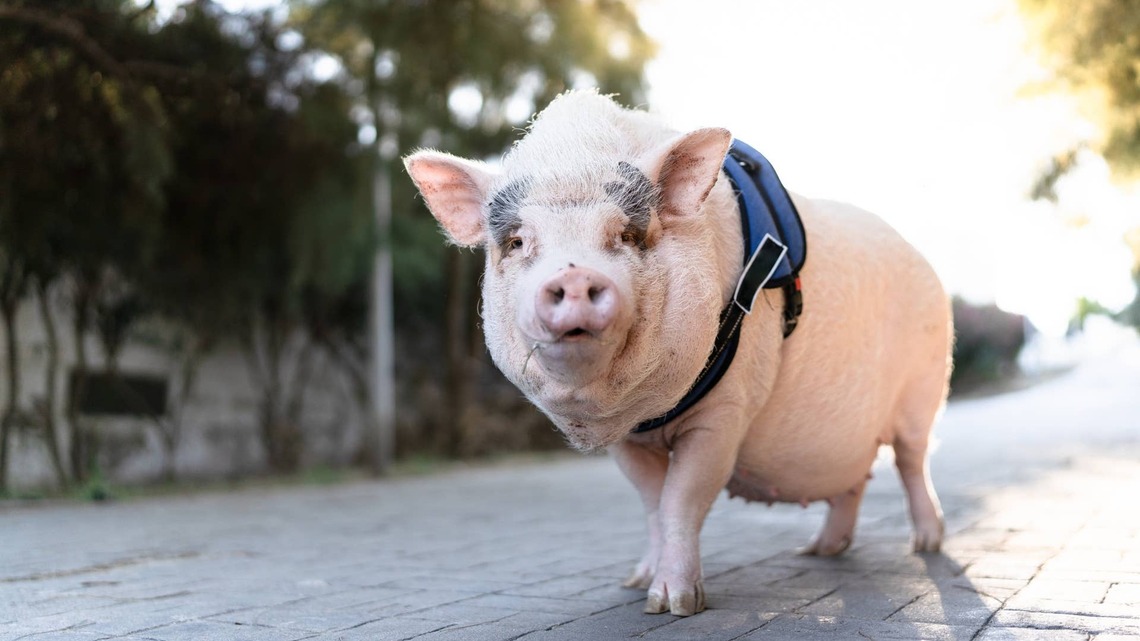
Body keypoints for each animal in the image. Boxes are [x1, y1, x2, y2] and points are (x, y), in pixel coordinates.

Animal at [404, 90, 951, 616]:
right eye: (517, 242)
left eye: (626, 234)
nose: (574, 276)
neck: (647, 413)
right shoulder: (629, 440)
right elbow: (652, 503)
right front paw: (634, 584)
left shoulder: (724, 413)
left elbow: (680, 501)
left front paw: (674, 606)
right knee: (855, 480)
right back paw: (818, 551)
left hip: (924, 388)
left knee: (912, 461)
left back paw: (926, 544)